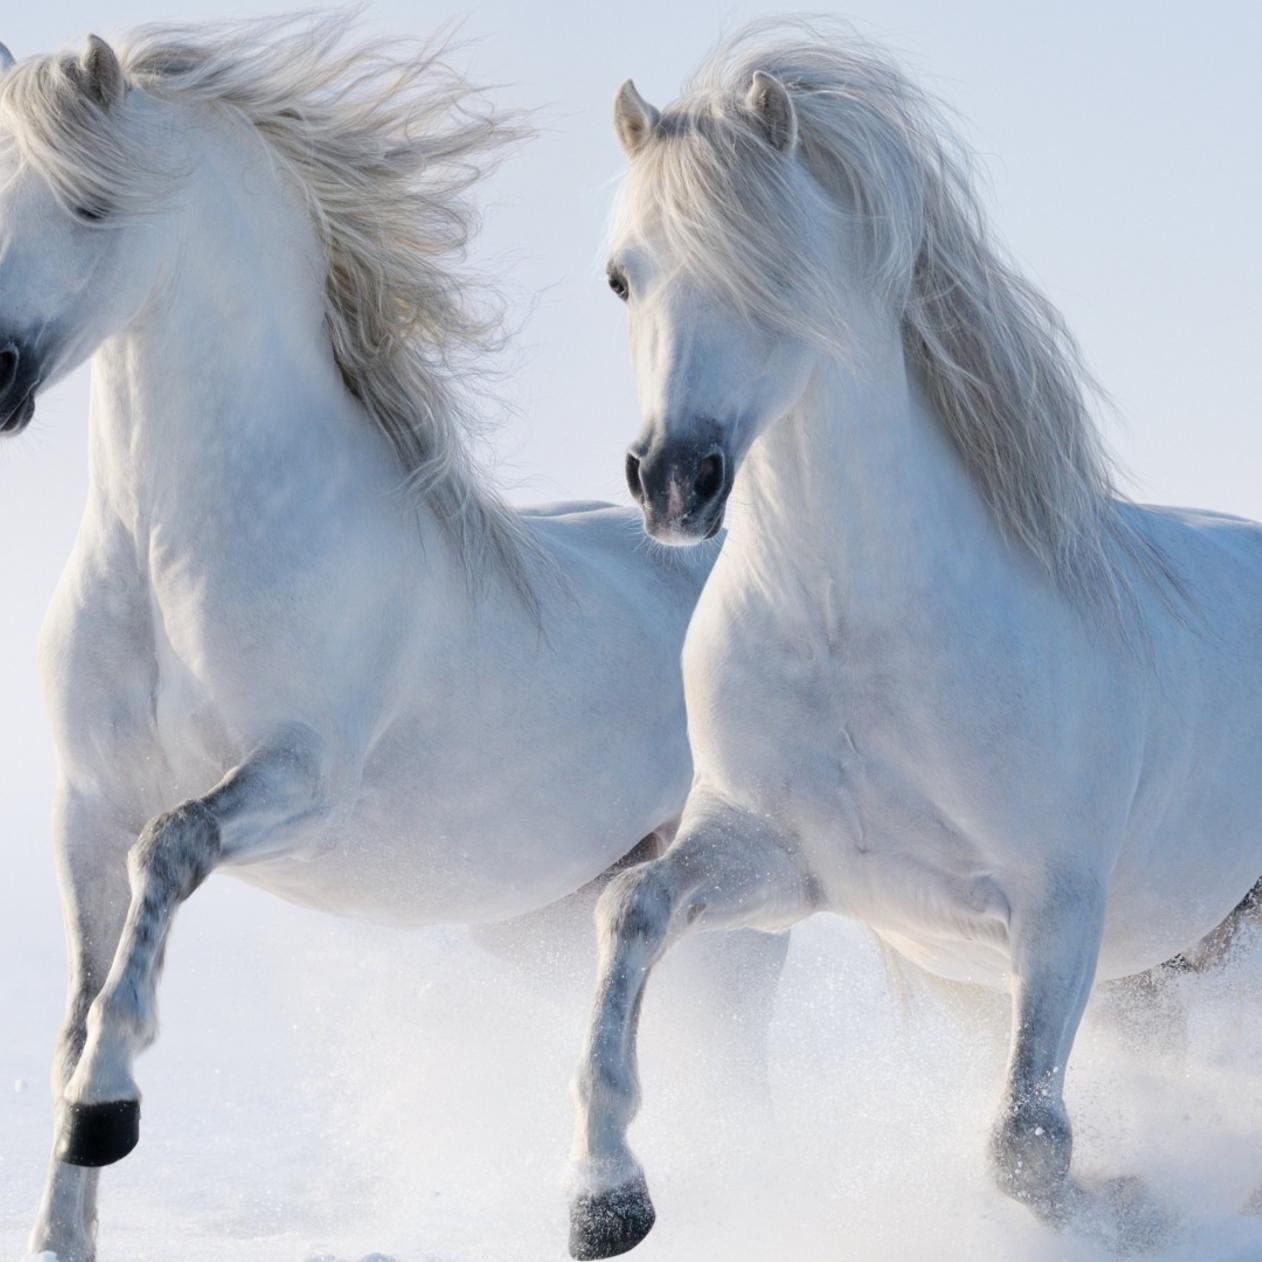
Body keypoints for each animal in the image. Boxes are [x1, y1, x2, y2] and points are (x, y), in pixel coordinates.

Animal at [0, 18, 789, 1262]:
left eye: (86, 204)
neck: (177, 550)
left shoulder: (298, 778)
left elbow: (167, 857)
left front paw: (108, 1108)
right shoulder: (85, 805)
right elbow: (75, 1008)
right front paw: (60, 1220)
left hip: (737, 917)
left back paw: (621, 1200)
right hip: (543, 921)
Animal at [566, 17, 1262, 1258]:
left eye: (772, 270)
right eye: (620, 276)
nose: (674, 480)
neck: (856, 635)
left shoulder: (1057, 908)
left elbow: (1025, 1143)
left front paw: (1139, 1203)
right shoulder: (778, 861)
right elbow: (629, 906)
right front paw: (605, 1196)